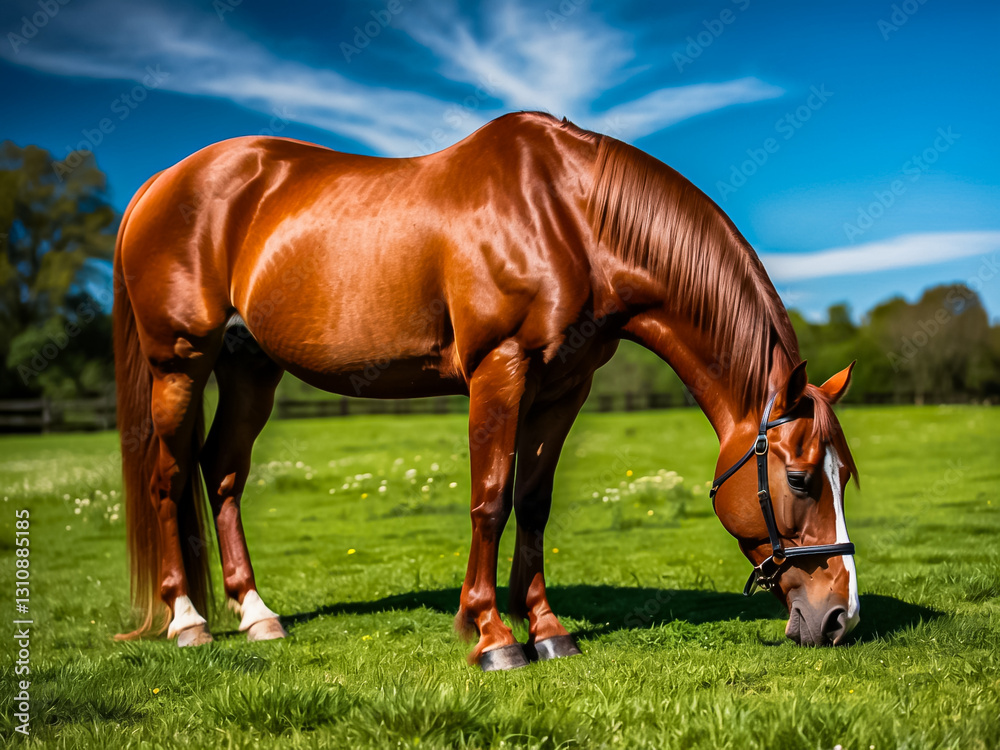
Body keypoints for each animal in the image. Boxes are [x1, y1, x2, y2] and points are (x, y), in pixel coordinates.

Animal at [113, 111, 860, 670]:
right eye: (798, 479)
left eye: (844, 477)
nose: (840, 617)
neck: (568, 215)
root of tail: (160, 182)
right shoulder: (499, 370)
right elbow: (490, 500)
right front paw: (493, 636)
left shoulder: (563, 387)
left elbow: (532, 504)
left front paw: (548, 631)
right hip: (180, 362)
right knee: (167, 477)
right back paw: (187, 621)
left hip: (251, 367)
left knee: (222, 473)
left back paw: (255, 614)